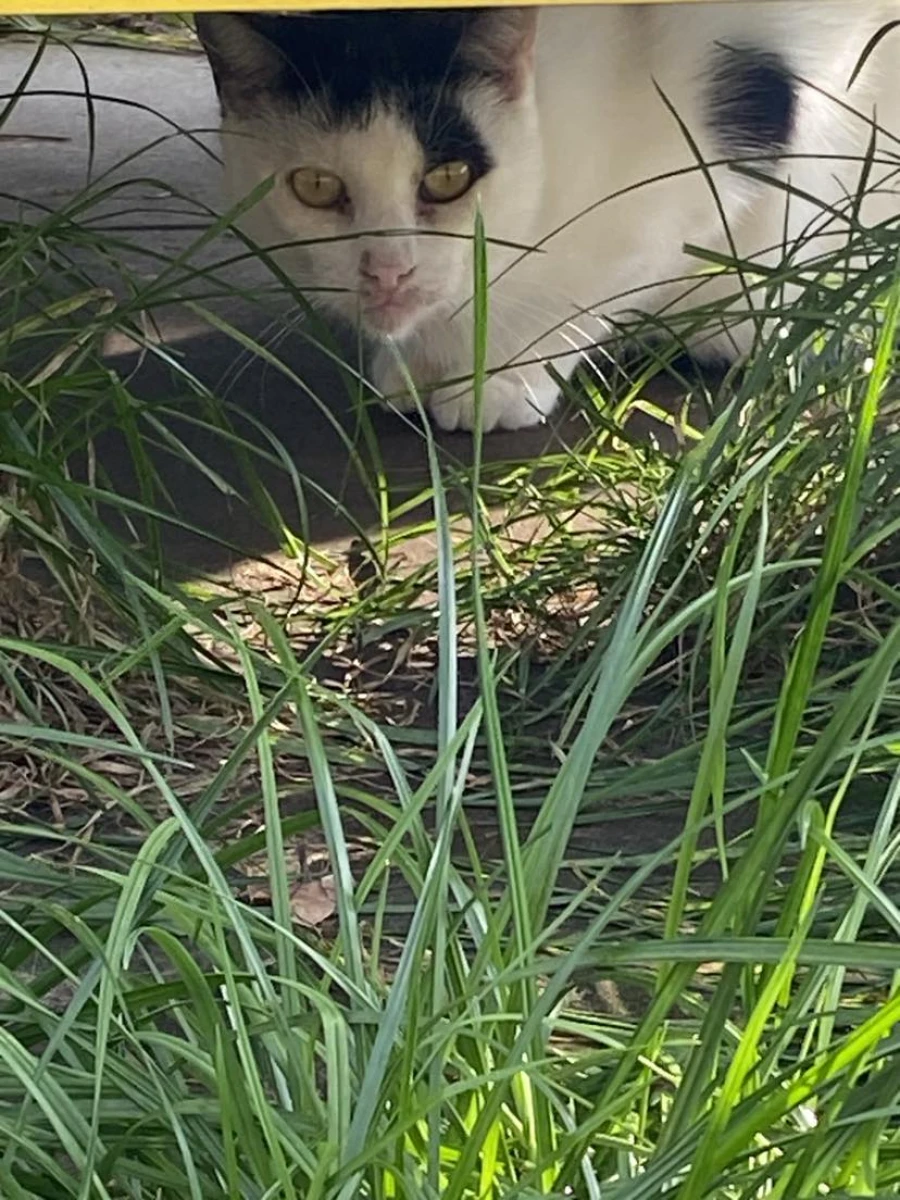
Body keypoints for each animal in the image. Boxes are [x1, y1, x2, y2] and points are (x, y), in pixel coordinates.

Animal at [196, 4, 900, 433]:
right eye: (316, 186)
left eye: (449, 178)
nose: (387, 271)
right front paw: (414, 367)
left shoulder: (693, 182)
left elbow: (582, 299)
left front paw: (496, 381)